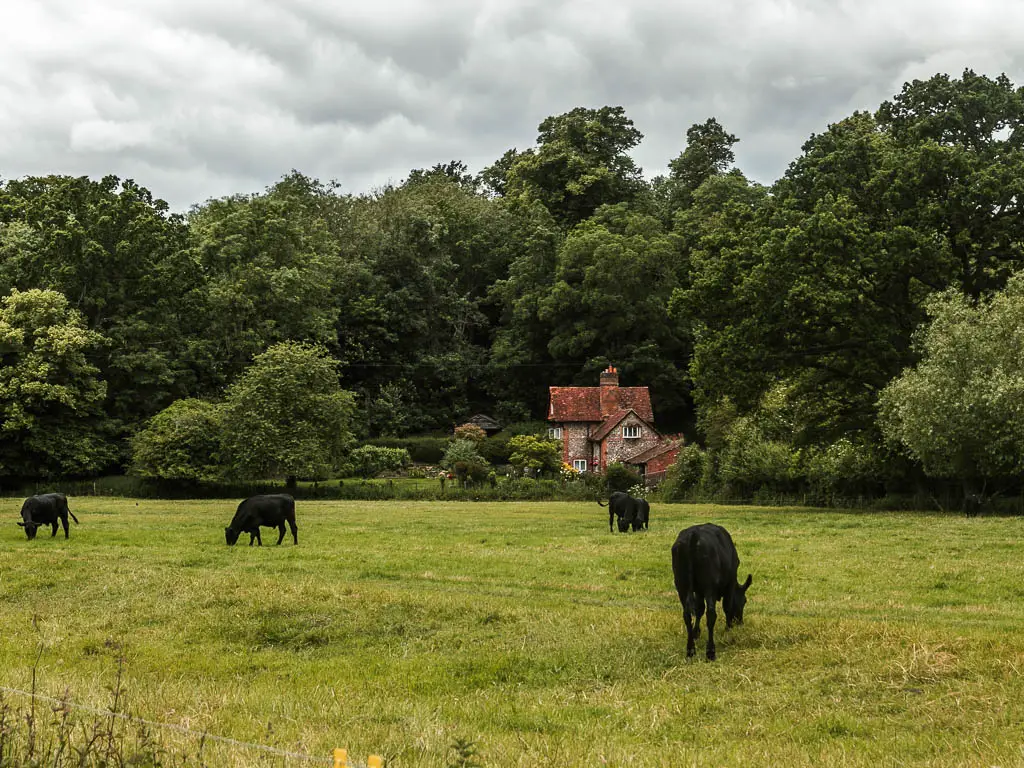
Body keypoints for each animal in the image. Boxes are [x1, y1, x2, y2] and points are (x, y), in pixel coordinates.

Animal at [671, 524, 753, 663]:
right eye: (744, 601)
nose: (740, 622)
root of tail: (693, 535)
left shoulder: (698, 592)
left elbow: (699, 610)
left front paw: (696, 632)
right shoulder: (730, 582)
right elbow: (727, 606)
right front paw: (728, 628)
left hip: (681, 585)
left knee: (687, 614)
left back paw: (690, 650)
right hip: (709, 585)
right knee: (711, 614)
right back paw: (710, 652)